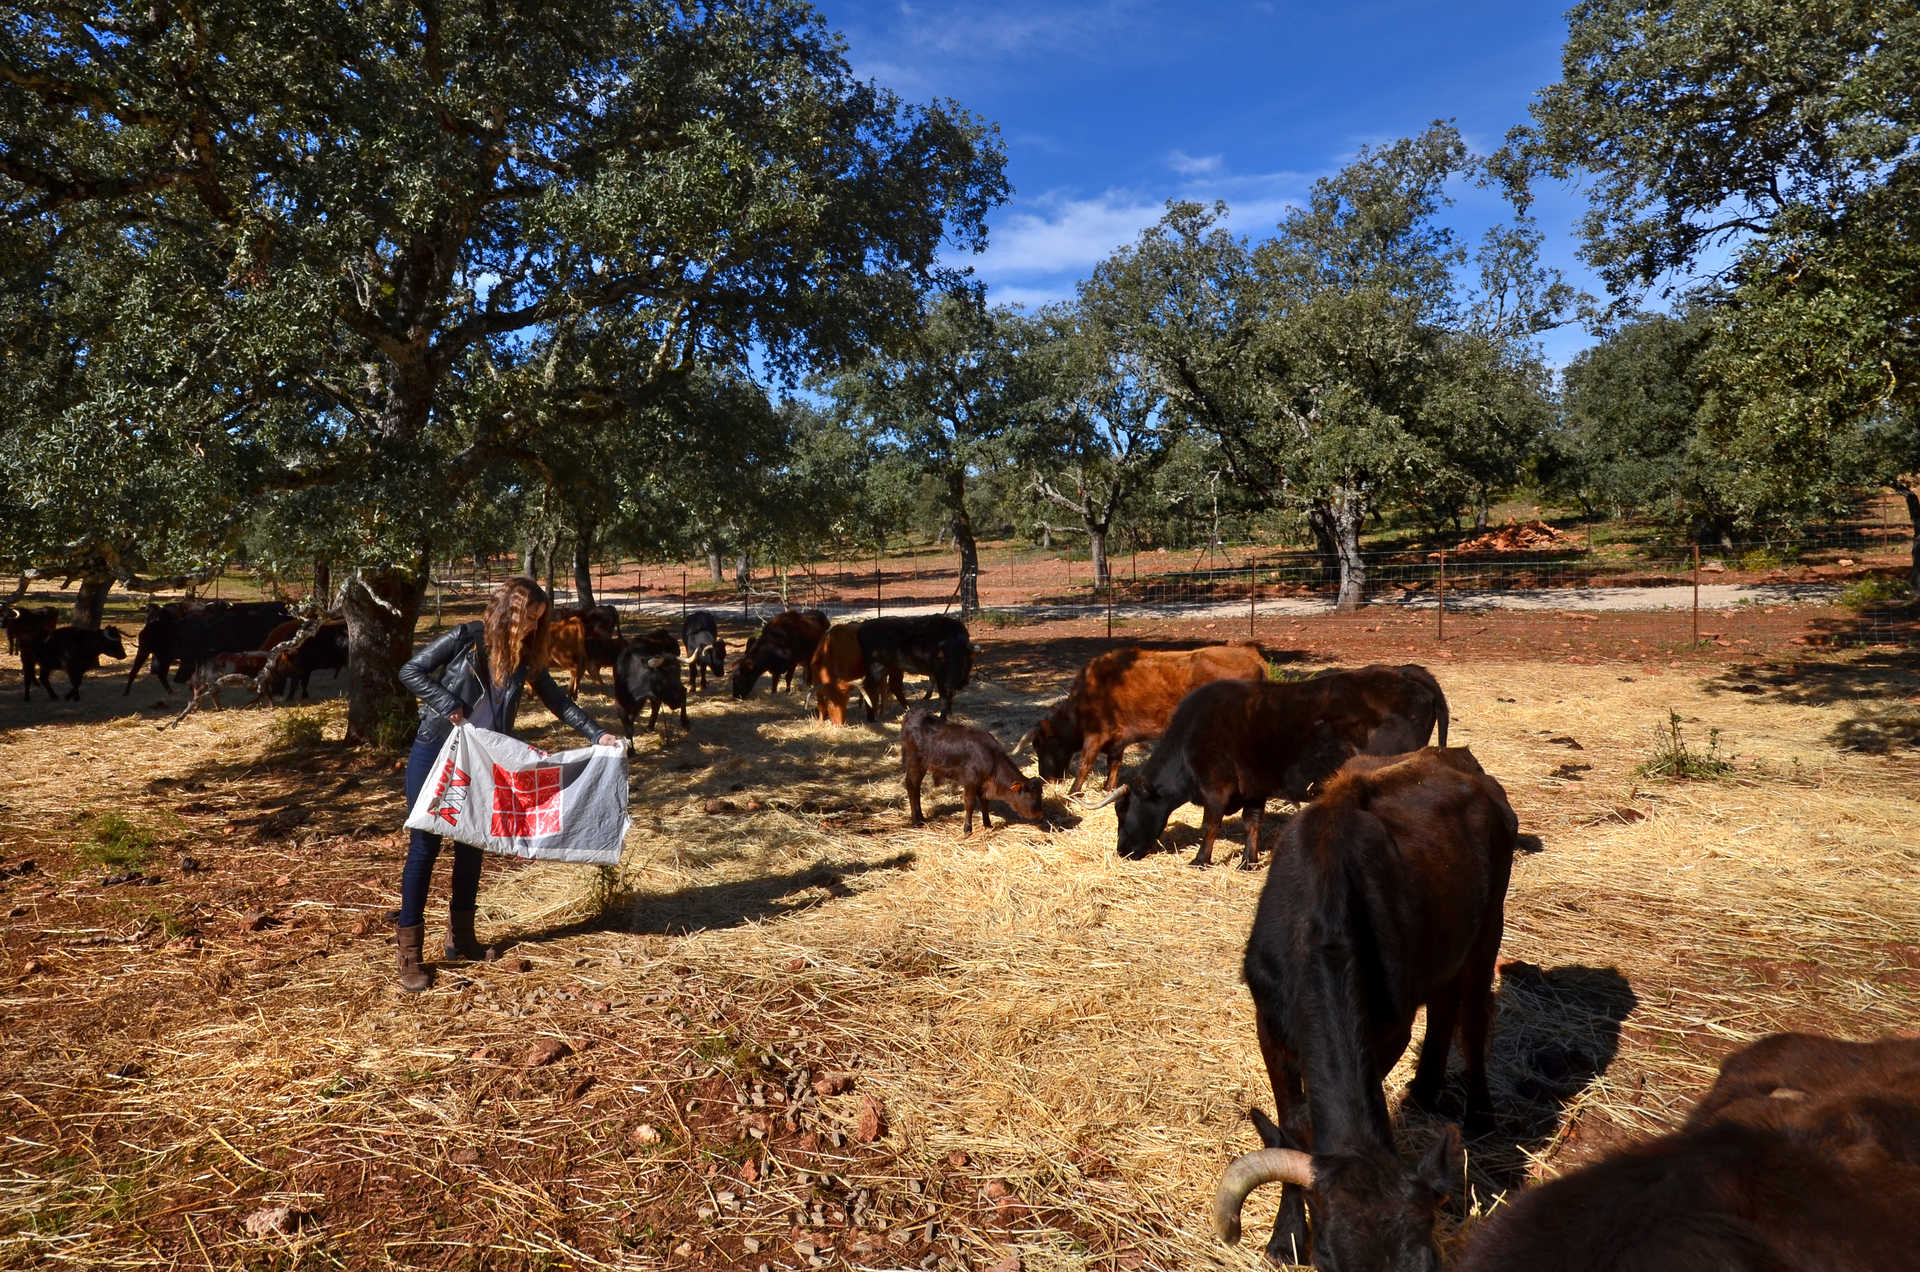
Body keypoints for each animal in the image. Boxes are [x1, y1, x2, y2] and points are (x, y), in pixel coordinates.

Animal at [902, 707, 1044, 837]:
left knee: (916, 787)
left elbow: (985, 803)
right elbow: (969, 804)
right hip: (914, 762)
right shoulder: (970, 782)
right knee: (911, 786)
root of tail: (913, 713)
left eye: (1040, 794)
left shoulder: (983, 784)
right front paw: (967, 830)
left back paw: (921, 817)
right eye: (1030, 796)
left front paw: (988, 824)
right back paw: (916, 821)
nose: (1040, 816)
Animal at [1021, 649, 1274, 799]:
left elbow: (1085, 763)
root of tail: (1252, 657)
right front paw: (1107, 787)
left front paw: (1073, 791)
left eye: (1040, 745)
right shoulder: (1117, 739)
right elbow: (1114, 763)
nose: (1045, 778)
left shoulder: (1095, 735)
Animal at [1090, 668, 1443, 868]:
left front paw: (1201, 860)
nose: (1122, 851)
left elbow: (1211, 824)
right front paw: (1249, 861)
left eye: (1123, 810)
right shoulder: (1253, 788)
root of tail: (1412, 677)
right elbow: (1252, 823)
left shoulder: (1216, 787)